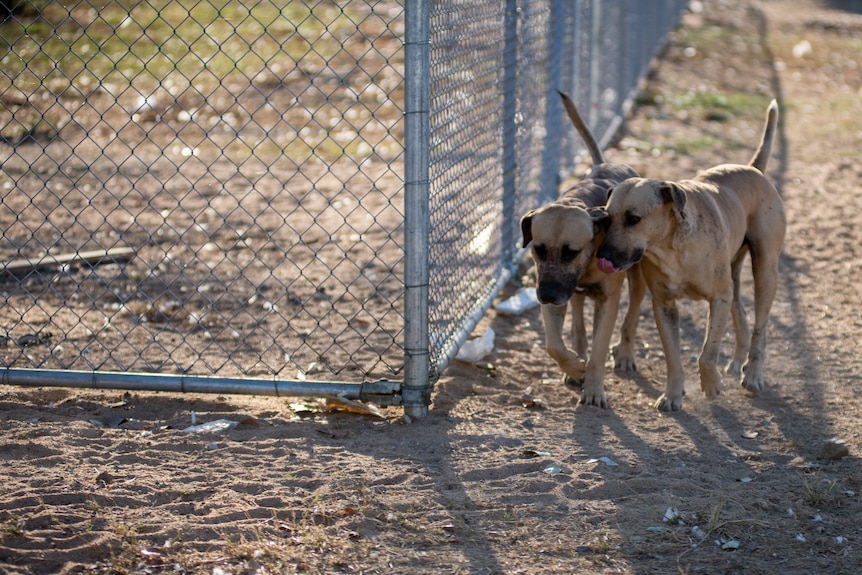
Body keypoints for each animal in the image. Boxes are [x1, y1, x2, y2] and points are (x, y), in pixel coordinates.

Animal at [524, 92, 644, 410]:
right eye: (538, 250)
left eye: (571, 252)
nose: (546, 295)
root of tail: (607, 163)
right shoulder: (554, 293)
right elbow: (553, 344)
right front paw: (576, 366)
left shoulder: (608, 301)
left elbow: (600, 350)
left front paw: (593, 388)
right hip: (571, 296)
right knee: (577, 322)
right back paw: (576, 358)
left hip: (637, 276)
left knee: (632, 315)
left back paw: (624, 354)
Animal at [596, 100, 788, 414]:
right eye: (607, 218)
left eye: (634, 219)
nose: (603, 256)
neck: (671, 248)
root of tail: (752, 168)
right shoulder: (664, 305)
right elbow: (673, 357)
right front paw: (673, 395)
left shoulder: (719, 298)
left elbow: (707, 352)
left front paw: (711, 384)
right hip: (733, 272)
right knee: (741, 312)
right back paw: (737, 361)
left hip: (765, 268)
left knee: (761, 325)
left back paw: (753, 373)